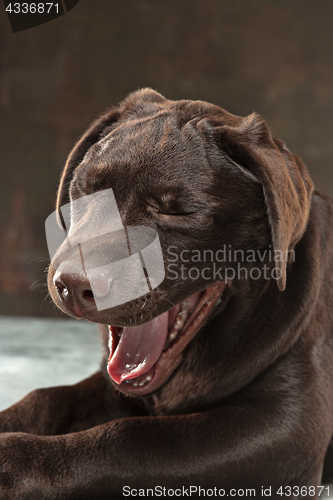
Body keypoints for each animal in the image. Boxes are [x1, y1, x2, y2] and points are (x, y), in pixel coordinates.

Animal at [0, 88, 332, 498]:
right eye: (86, 191)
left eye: (178, 213)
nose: (73, 285)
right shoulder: (111, 387)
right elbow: (48, 397)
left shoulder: (286, 430)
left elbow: (130, 439)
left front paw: (13, 462)